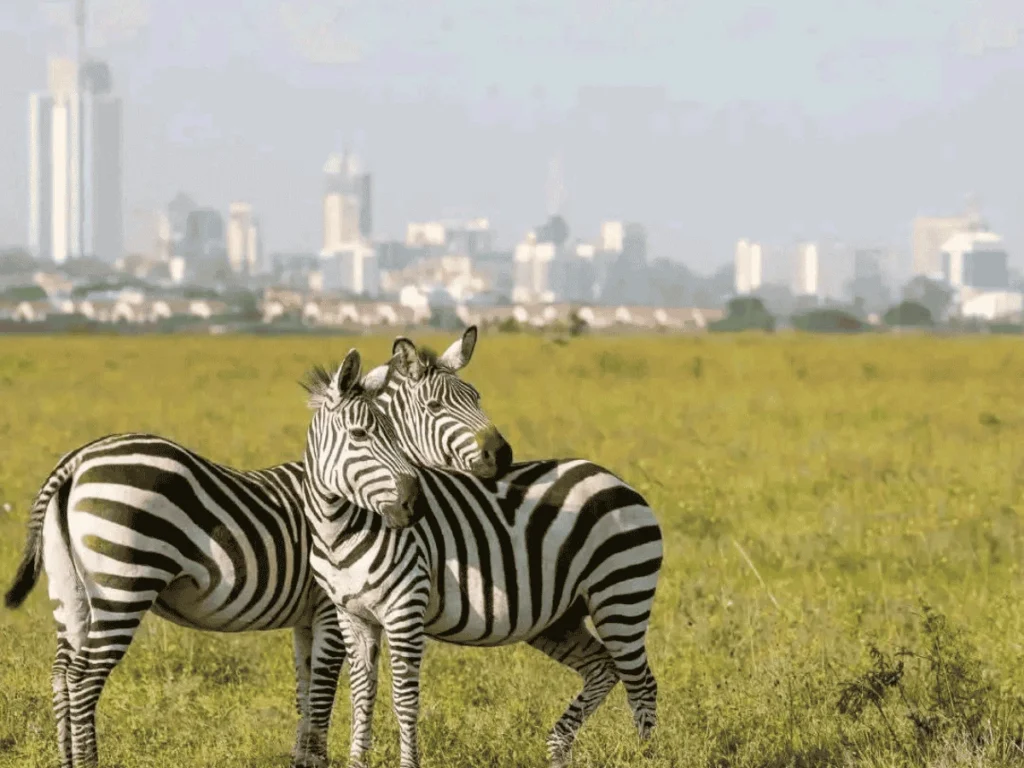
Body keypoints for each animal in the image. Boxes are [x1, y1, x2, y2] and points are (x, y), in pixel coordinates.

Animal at [3, 327, 511, 768]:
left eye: (477, 398)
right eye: (435, 405)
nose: (502, 456)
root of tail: (77, 460)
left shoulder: (308, 615)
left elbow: (306, 689)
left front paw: (303, 759)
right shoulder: (329, 608)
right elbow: (323, 691)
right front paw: (315, 760)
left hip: (70, 591)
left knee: (62, 673)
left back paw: (65, 759)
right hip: (122, 584)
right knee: (84, 679)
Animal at [302, 345, 664, 768]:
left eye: (393, 434)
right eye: (359, 434)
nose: (415, 505)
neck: (339, 531)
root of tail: (616, 479)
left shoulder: (405, 611)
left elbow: (405, 700)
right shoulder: (352, 616)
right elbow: (362, 696)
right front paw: (357, 762)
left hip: (621, 595)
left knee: (641, 683)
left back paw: (646, 757)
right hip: (560, 618)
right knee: (603, 668)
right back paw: (559, 746)